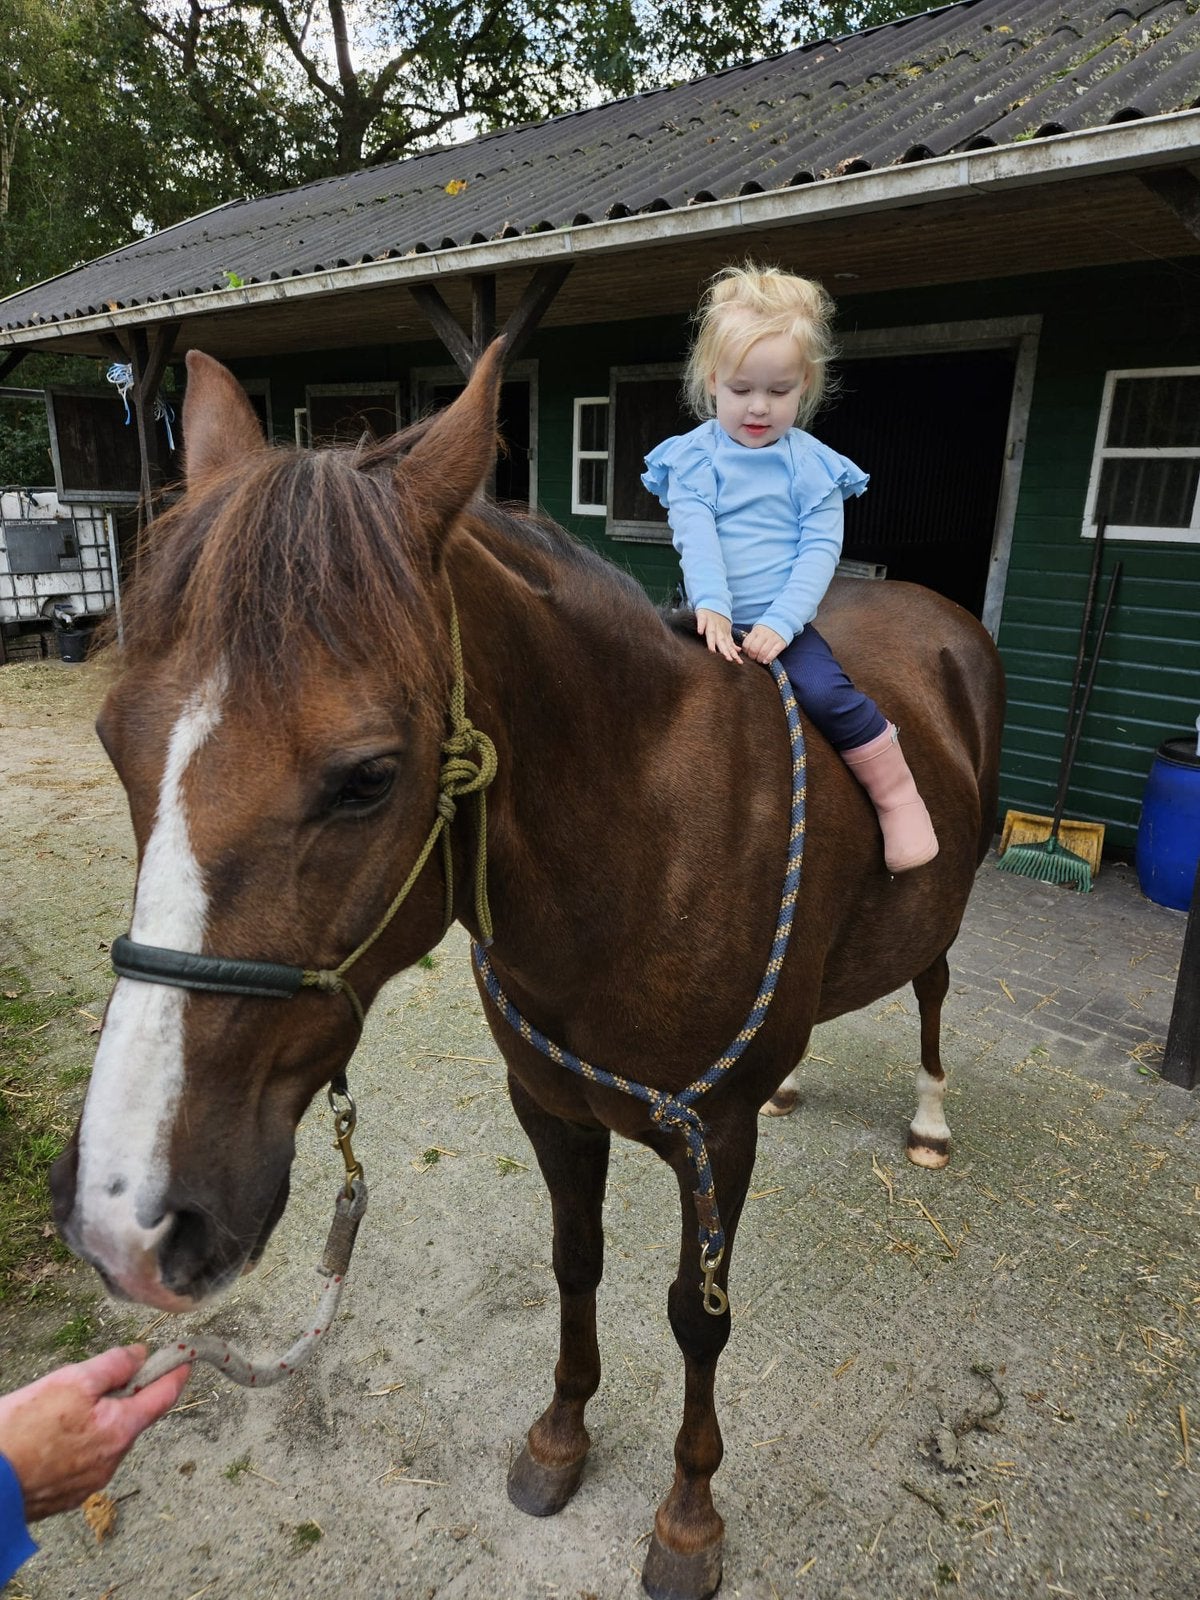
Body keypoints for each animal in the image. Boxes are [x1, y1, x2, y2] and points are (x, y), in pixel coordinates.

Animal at [50, 339, 1004, 1600]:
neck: (649, 844)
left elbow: (698, 1317)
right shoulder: (551, 1106)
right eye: (116, 740)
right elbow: (574, 1264)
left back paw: (934, 1116)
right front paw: (559, 1439)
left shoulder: (714, 1139)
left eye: (367, 777)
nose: (126, 1220)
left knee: (935, 985)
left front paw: (688, 1517)